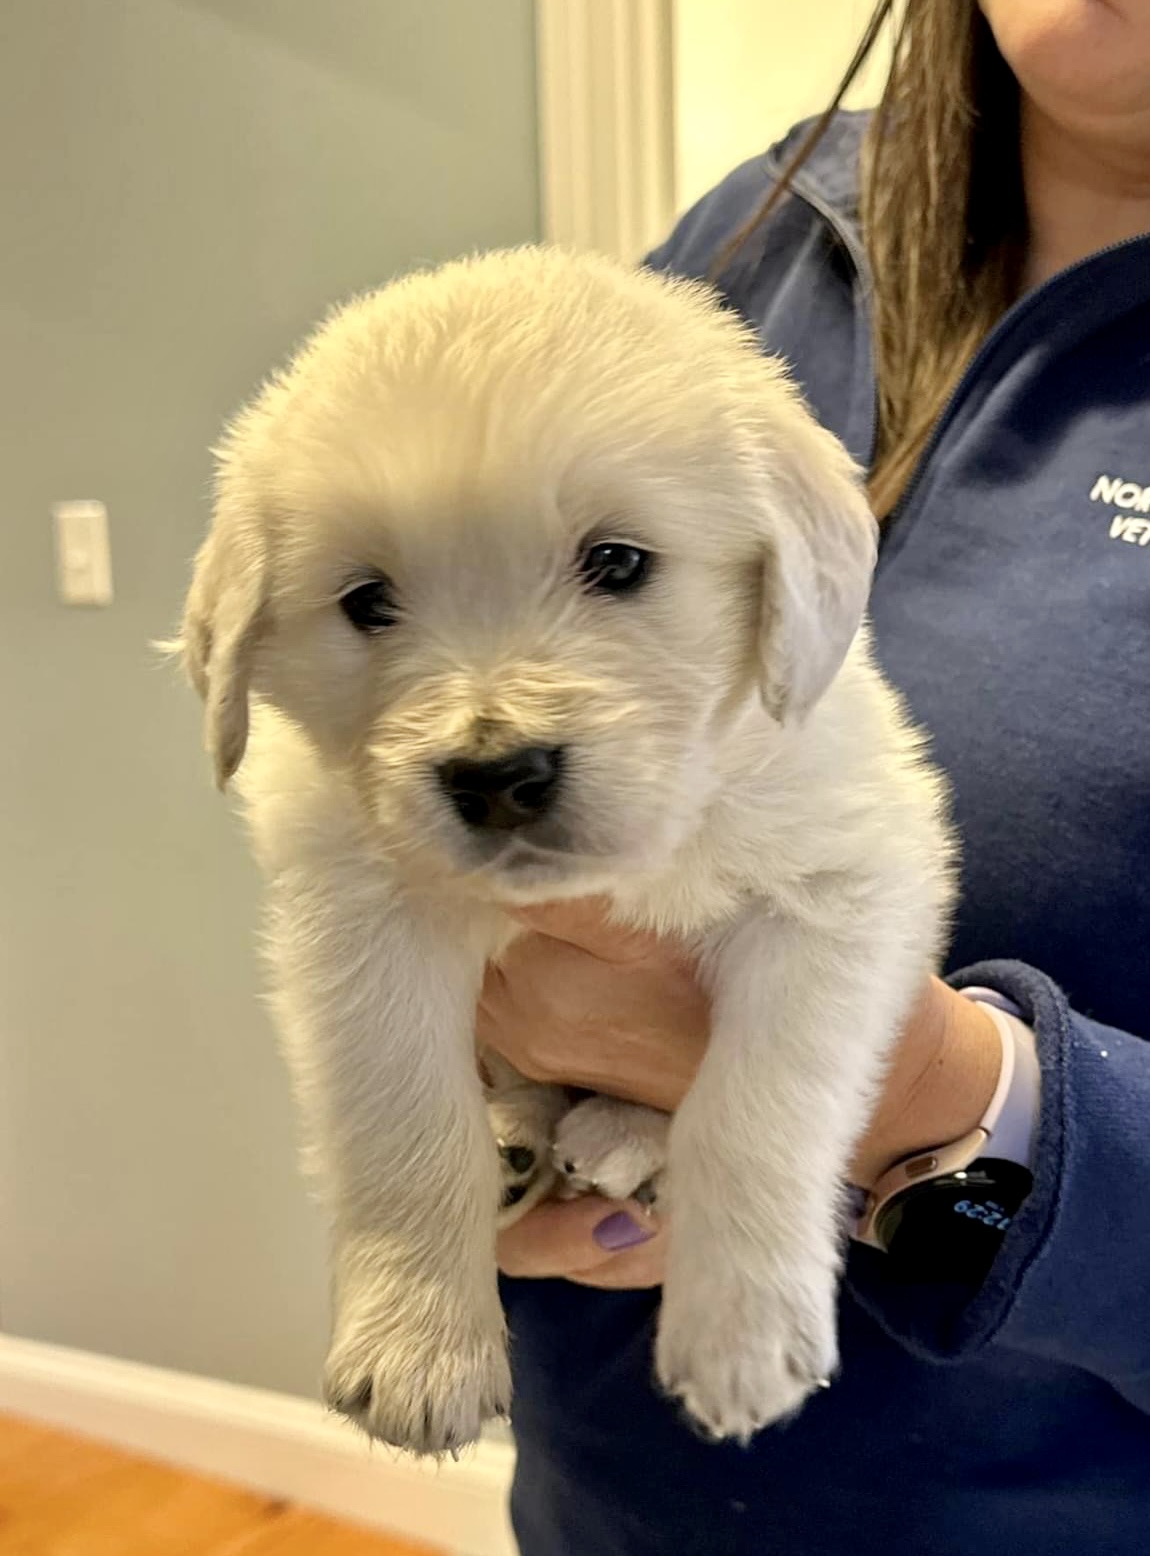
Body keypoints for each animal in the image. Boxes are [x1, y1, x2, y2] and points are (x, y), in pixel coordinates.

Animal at [177, 245, 952, 1456]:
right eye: (366, 601)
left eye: (618, 562)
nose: (498, 775)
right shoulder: (356, 927)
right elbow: (401, 1122)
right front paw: (418, 1345)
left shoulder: (844, 888)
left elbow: (754, 1110)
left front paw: (739, 1336)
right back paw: (518, 1138)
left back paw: (618, 1135)